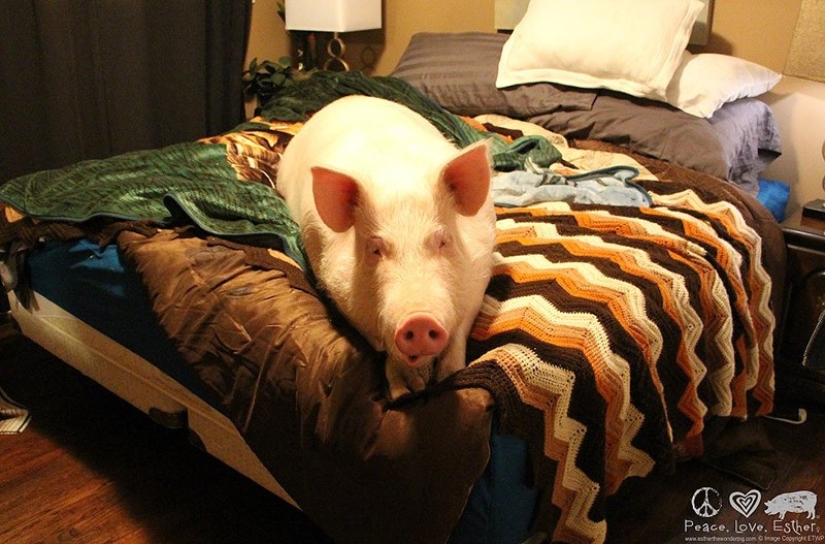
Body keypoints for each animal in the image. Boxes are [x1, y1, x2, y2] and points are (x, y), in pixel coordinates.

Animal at [276, 95, 496, 399]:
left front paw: (447, 378)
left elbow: (459, 333)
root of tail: (350, 98)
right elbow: (382, 347)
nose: (419, 320)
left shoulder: (479, 272)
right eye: (375, 249)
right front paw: (406, 391)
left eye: (443, 241)